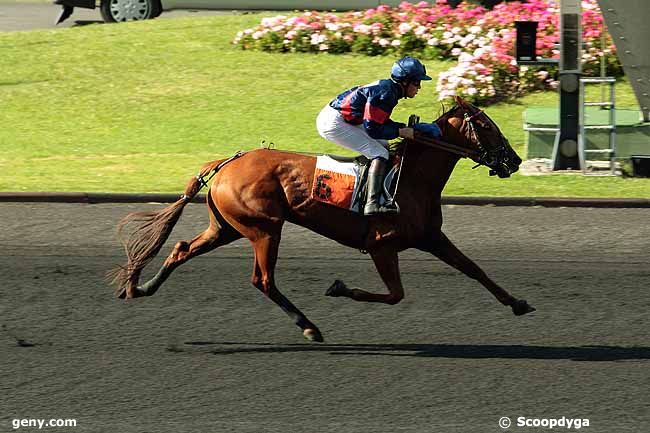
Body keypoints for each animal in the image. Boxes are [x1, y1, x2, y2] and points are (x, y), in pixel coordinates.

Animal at [112, 95, 532, 340]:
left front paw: (517, 303)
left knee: (182, 248)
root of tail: (228, 162)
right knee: (263, 280)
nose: (514, 161)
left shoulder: (431, 237)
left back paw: (141, 287)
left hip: (227, 227)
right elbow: (395, 295)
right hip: (264, 229)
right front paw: (338, 287)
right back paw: (310, 327)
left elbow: (473, 268)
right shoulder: (381, 246)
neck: (411, 179)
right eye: (487, 126)